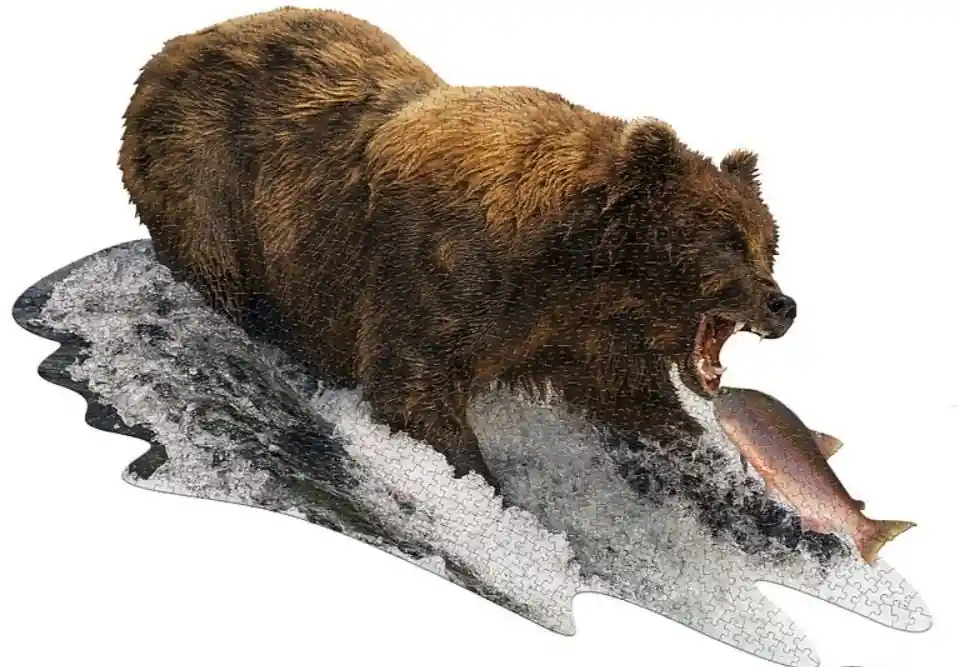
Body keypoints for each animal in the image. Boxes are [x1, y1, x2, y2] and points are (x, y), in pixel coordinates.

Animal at [118, 7, 798, 492]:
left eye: (770, 245)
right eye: (724, 242)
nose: (782, 305)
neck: (573, 264)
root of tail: (176, 44)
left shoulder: (582, 334)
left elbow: (642, 407)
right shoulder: (437, 268)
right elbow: (415, 388)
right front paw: (488, 489)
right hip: (206, 175)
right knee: (217, 274)